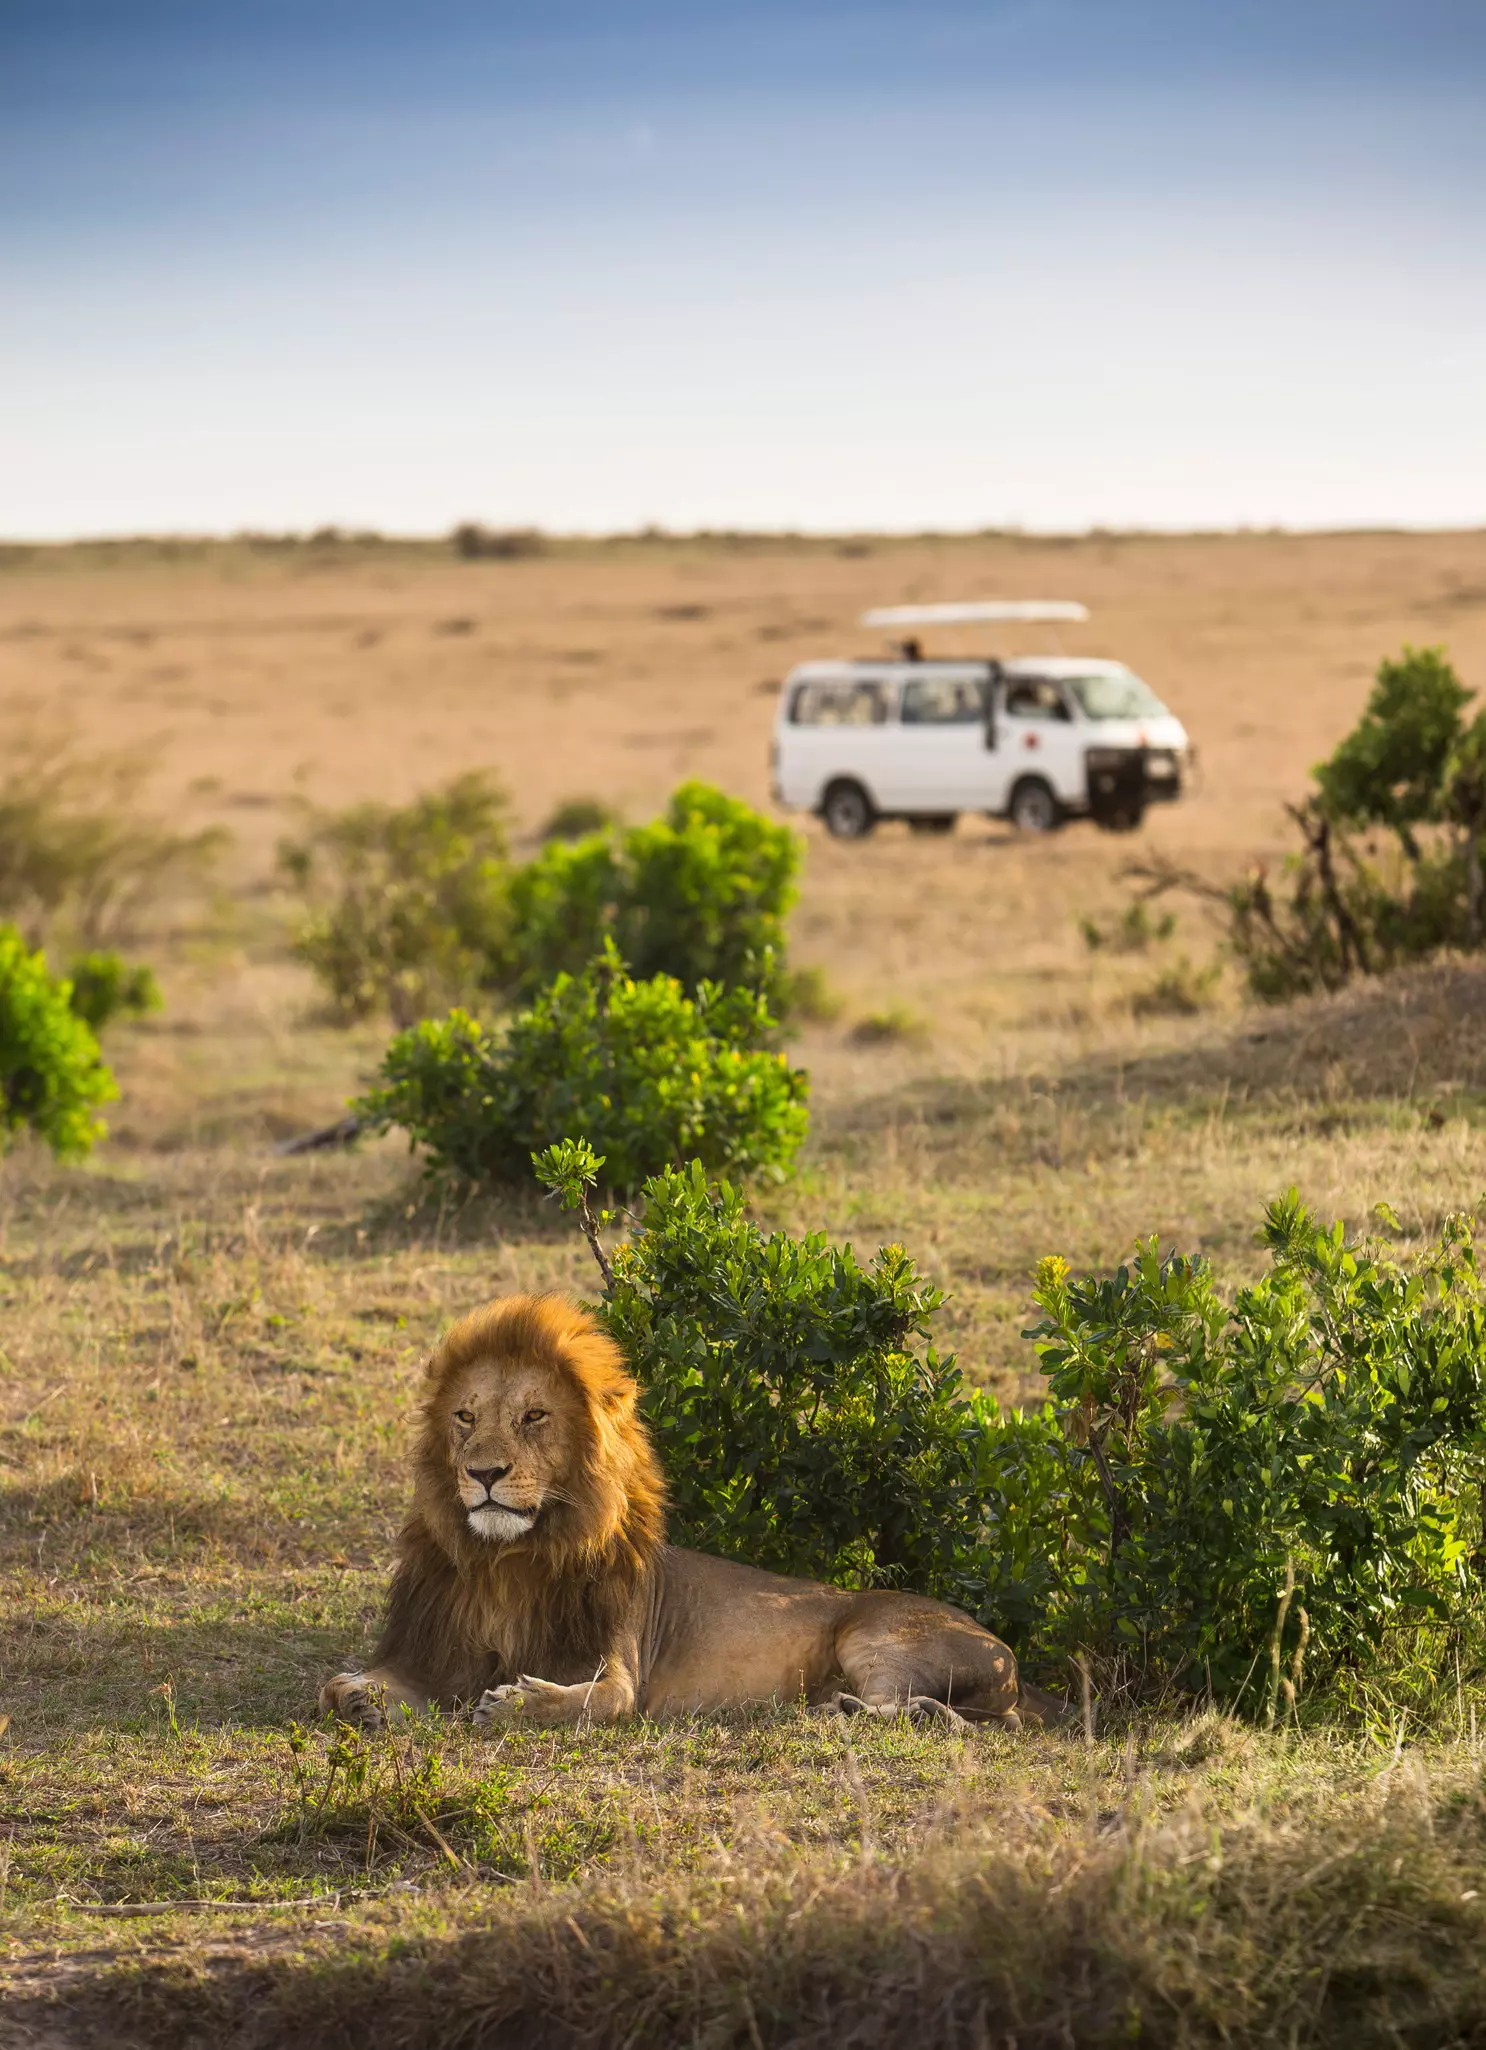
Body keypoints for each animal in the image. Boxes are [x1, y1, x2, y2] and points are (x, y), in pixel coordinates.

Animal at [320, 1293, 1054, 1732]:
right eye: (465, 1418)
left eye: (533, 1417)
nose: (483, 1474)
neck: (512, 1560)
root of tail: (1011, 1657)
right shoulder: (440, 1650)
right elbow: (343, 1684)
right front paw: (360, 1694)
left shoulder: (619, 1672)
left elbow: (594, 1700)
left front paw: (516, 1700)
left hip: (874, 1635)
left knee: (918, 1711)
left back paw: (845, 1708)